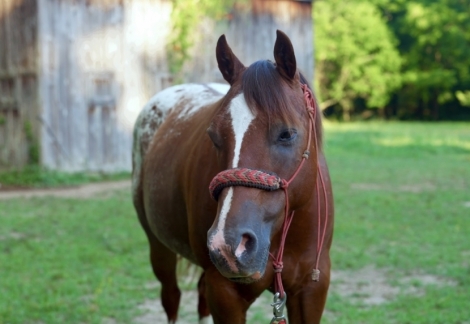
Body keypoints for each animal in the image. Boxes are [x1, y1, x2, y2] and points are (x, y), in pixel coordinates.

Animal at [130, 29, 332, 322]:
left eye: (287, 134)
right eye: (214, 137)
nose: (227, 245)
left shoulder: (312, 290)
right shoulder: (225, 293)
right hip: (159, 248)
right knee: (172, 297)